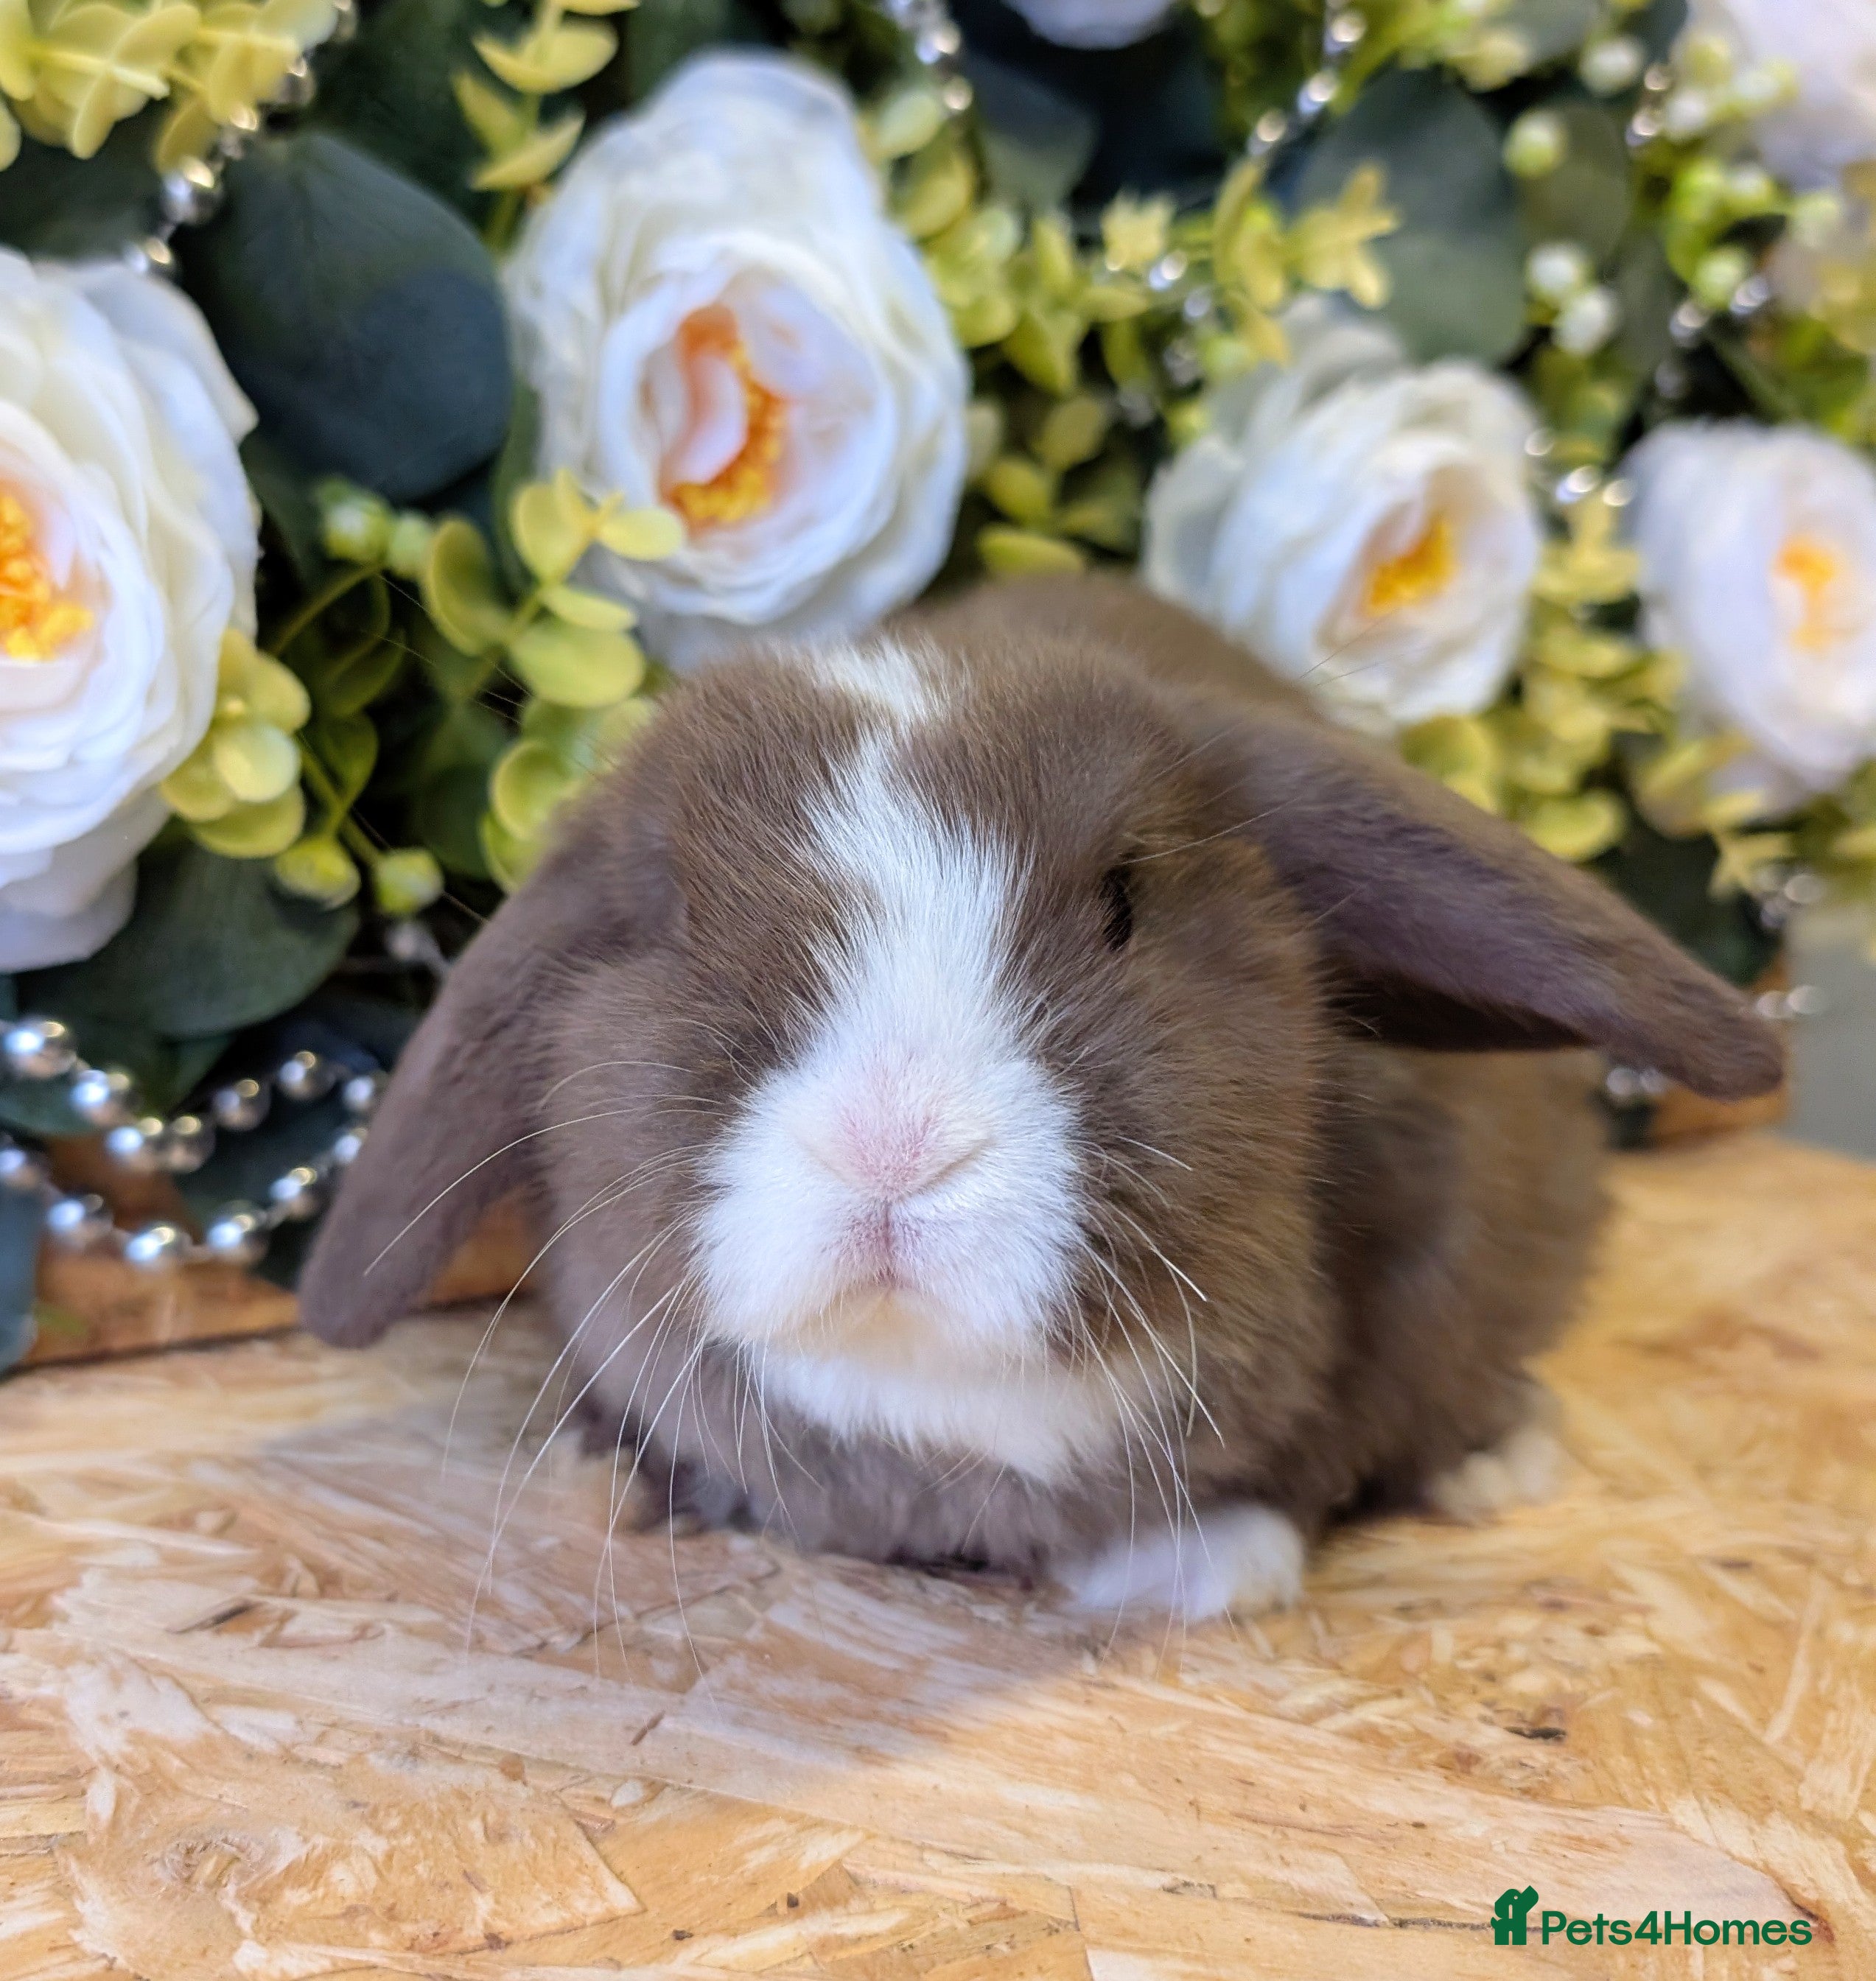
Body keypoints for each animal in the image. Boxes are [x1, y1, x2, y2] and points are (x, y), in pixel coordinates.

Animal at [298, 576, 1782, 1620]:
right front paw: (609, 1479)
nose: (891, 1144)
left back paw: (1493, 1464)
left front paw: (1211, 1567)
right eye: (674, 916)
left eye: (1123, 905)